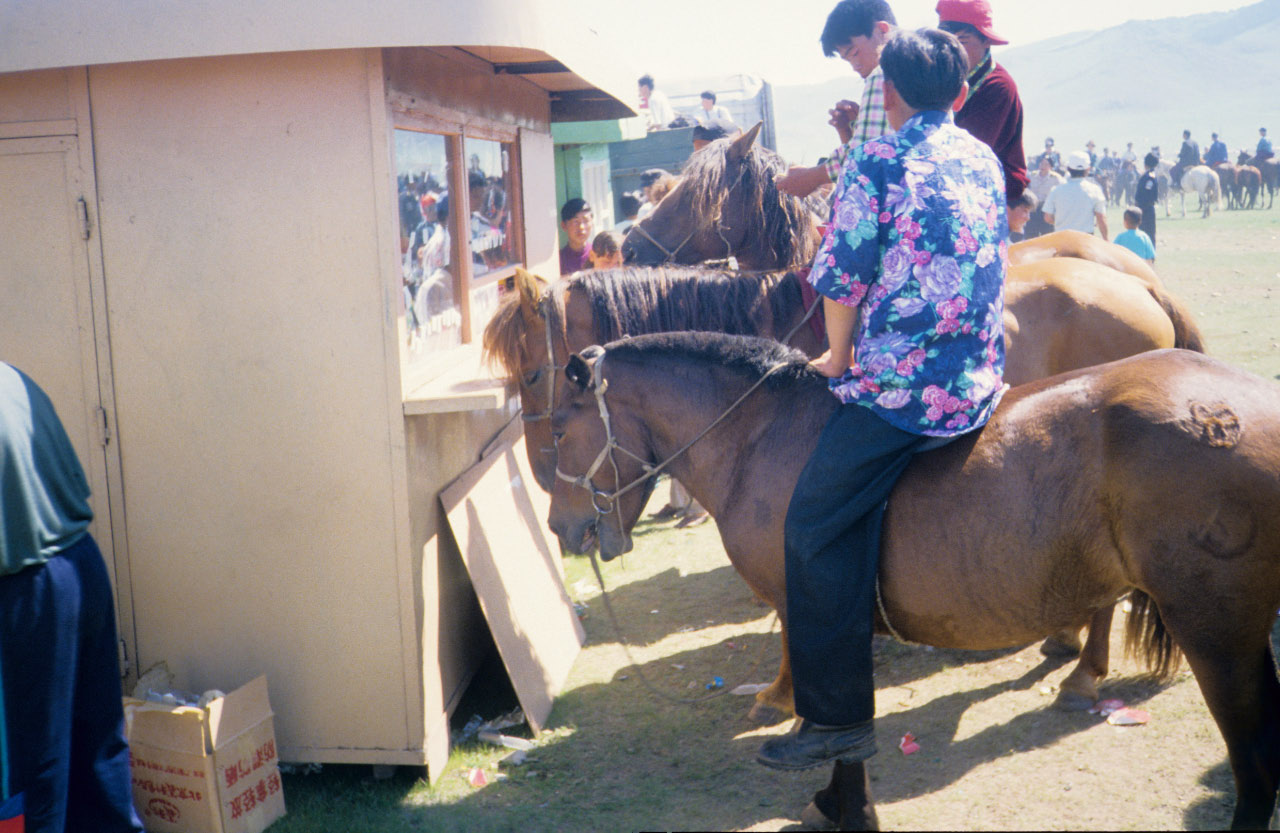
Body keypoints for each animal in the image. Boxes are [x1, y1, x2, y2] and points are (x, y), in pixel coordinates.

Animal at [545, 332, 1280, 829]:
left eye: (555, 429)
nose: (559, 528)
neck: (764, 438)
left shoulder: (814, 609)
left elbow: (834, 717)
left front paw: (845, 806)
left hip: (1217, 633)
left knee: (1254, 762)